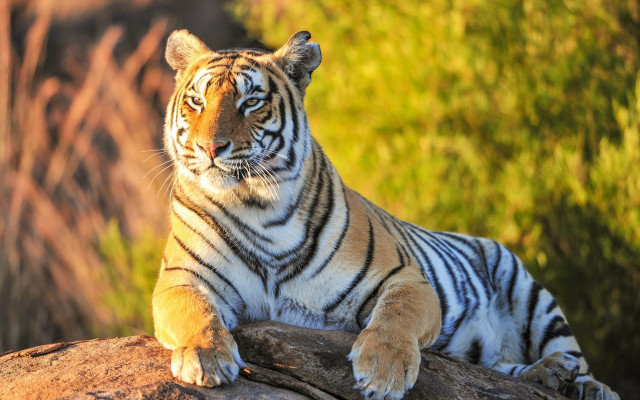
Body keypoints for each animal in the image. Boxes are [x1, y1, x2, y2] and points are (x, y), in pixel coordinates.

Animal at [152, 29, 619, 400]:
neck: (256, 207)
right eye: (196, 101)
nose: (211, 148)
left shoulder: (406, 278)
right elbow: (195, 312)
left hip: (531, 293)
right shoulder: (181, 278)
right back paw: (550, 376)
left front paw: (383, 371)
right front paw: (206, 358)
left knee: (573, 357)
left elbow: (396, 316)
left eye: (251, 102)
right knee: (501, 367)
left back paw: (584, 384)